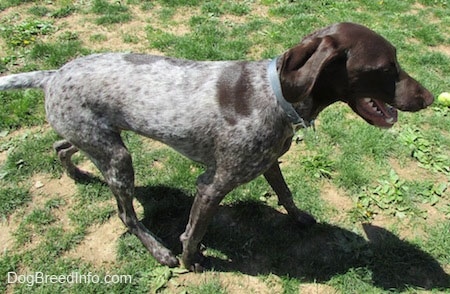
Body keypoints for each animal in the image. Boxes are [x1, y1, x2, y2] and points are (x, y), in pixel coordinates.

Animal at [0, 23, 432, 272]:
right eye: (384, 68)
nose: (429, 98)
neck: (274, 94)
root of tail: (54, 74)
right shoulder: (211, 186)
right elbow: (193, 233)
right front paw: (190, 261)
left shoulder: (268, 162)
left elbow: (286, 194)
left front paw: (298, 217)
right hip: (119, 156)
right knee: (126, 216)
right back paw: (159, 252)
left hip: (96, 139)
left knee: (61, 146)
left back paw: (77, 174)